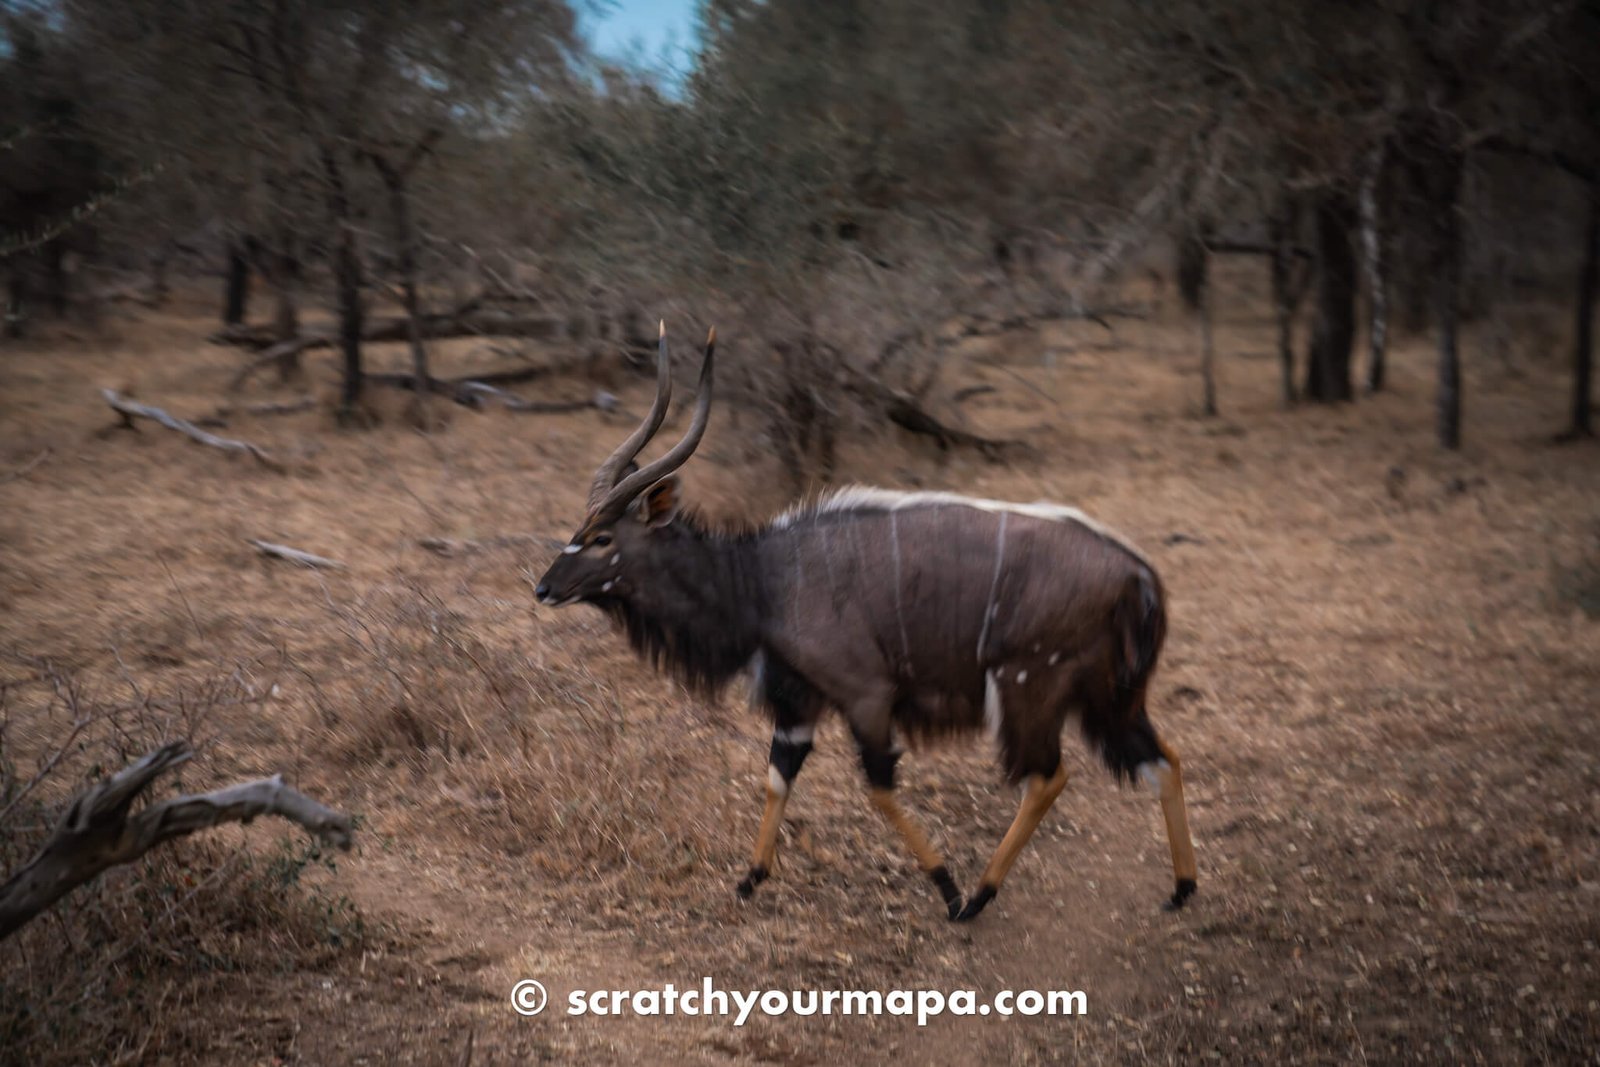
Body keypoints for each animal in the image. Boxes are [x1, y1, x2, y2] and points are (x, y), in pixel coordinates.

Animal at [540, 321, 1203, 921]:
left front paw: (947, 886)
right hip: (1109, 698)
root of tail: (1139, 575)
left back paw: (981, 894)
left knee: (1049, 776)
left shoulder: (867, 695)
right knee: (1162, 759)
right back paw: (1182, 888)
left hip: (1029, 690)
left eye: (601, 538)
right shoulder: (797, 703)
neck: (762, 580)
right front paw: (749, 879)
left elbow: (879, 787)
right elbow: (777, 777)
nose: (544, 587)